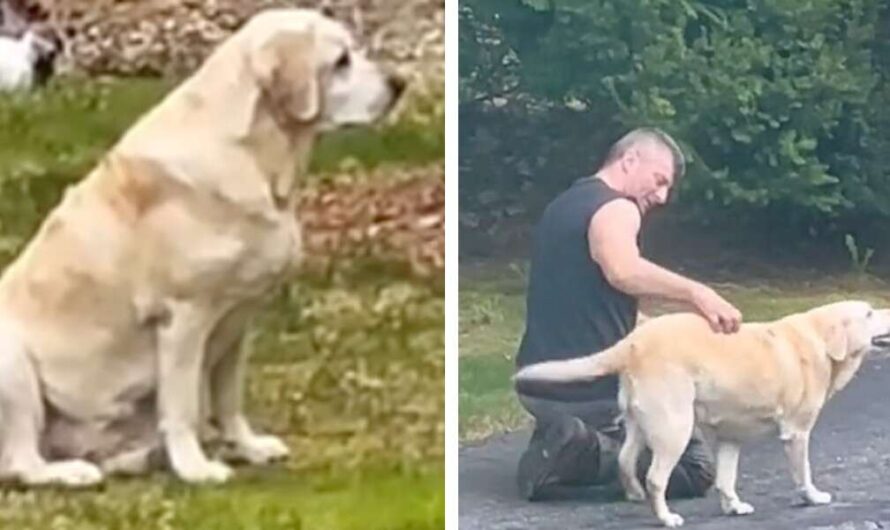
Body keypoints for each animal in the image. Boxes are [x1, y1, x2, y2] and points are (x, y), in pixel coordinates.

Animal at [0, 8, 404, 484]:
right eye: (341, 61)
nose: (399, 83)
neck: (257, 158)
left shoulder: (239, 320)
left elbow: (228, 399)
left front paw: (247, 447)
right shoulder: (183, 317)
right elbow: (184, 405)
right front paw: (196, 468)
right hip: (13, 366)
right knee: (20, 461)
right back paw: (72, 472)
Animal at [510, 300, 888, 524]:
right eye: (869, 313)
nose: (886, 306)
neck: (820, 342)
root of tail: (635, 341)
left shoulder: (731, 438)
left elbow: (726, 479)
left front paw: (733, 507)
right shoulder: (796, 433)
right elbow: (803, 473)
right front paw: (813, 497)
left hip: (640, 425)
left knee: (625, 459)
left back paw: (633, 494)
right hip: (675, 428)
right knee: (655, 477)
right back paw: (666, 517)